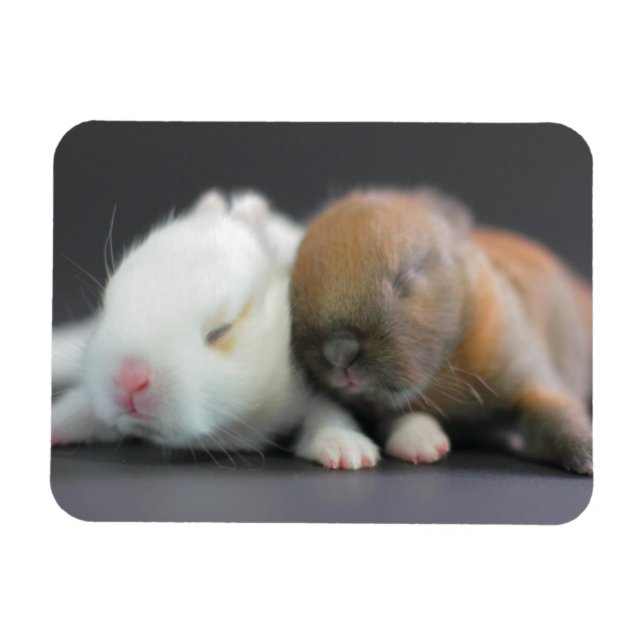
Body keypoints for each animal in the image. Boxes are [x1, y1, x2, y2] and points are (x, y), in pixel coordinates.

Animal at [51, 189, 379, 469]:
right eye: (106, 306)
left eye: (221, 330)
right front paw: (54, 425)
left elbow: (329, 413)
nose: (130, 378)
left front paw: (348, 451)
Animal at [289, 188, 593, 474]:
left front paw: (587, 457)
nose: (339, 353)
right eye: (298, 291)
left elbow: (555, 415)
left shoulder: (529, 376)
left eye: (406, 278)